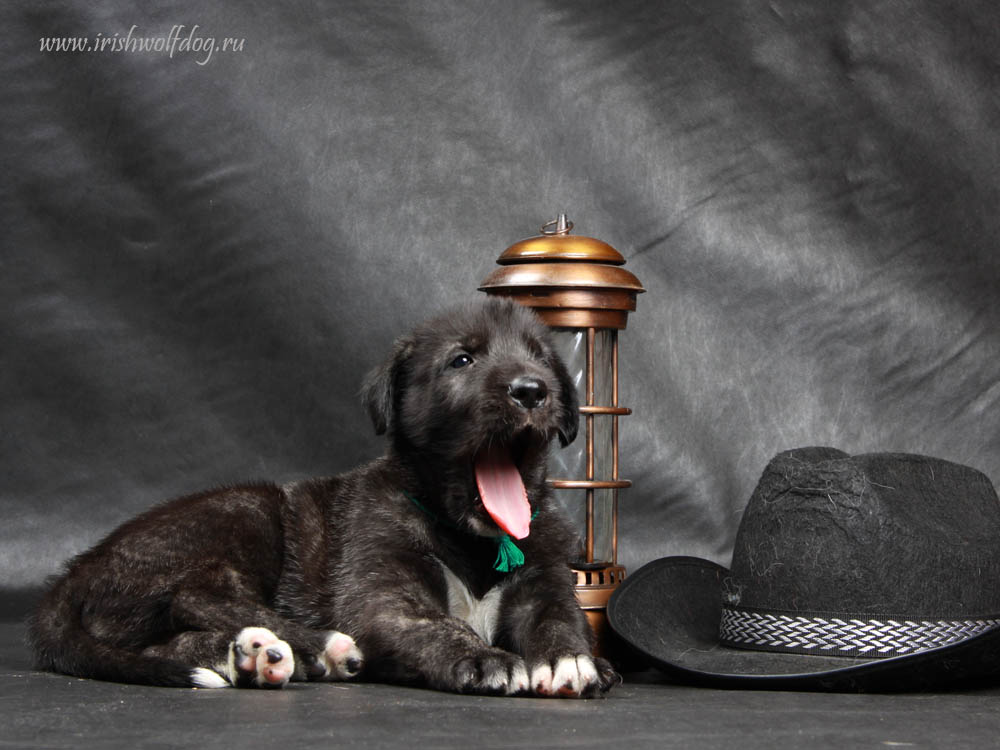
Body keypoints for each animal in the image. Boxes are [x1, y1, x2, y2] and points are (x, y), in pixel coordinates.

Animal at [29, 300, 616, 700]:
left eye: (541, 360)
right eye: (462, 360)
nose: (531, 389)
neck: (472, 536)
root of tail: (72, 575)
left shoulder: (544, 574)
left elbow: (557, 617)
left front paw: (568, 661)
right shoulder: (380, 592)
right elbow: (434, 624)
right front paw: (484, 658)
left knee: (161, 642)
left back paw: (250, 656)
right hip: (241, 514)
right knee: (195, 596)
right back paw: (319, 648)